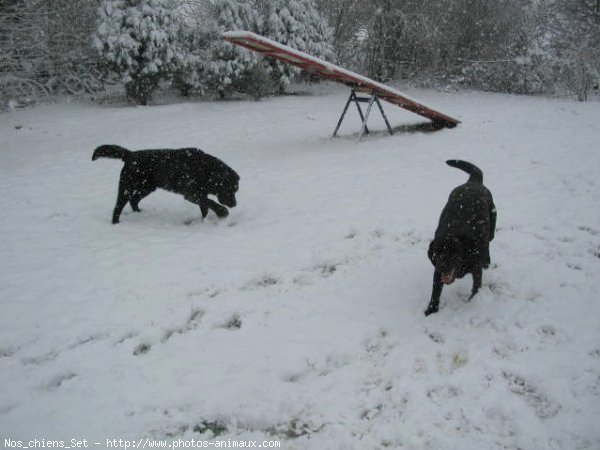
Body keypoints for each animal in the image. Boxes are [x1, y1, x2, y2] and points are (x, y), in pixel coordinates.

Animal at [91, 145, 239, 224]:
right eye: (230, 189)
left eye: (235, 190)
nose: (234, 204)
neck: (207, 171)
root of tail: (130, 155)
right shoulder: (192, 194)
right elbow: (210, 203)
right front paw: (222, 212)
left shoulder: (200, 194)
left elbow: (206, 207)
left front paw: (204, 221)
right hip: (127, 188)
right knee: (118, 206)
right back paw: (116, 223)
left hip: (146, 188)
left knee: (134, 201)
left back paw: (139, 213)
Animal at [424, 160, 494, 314]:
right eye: (437, 253)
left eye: (452, 252)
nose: (443, 266)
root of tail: (472, 181)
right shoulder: (437, 272)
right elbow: (435, 291)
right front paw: (431, 310)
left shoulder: (476, 270)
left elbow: (476, 288)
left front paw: (472, 303)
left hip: (492, 226)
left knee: (489, 243)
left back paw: (487, 261)